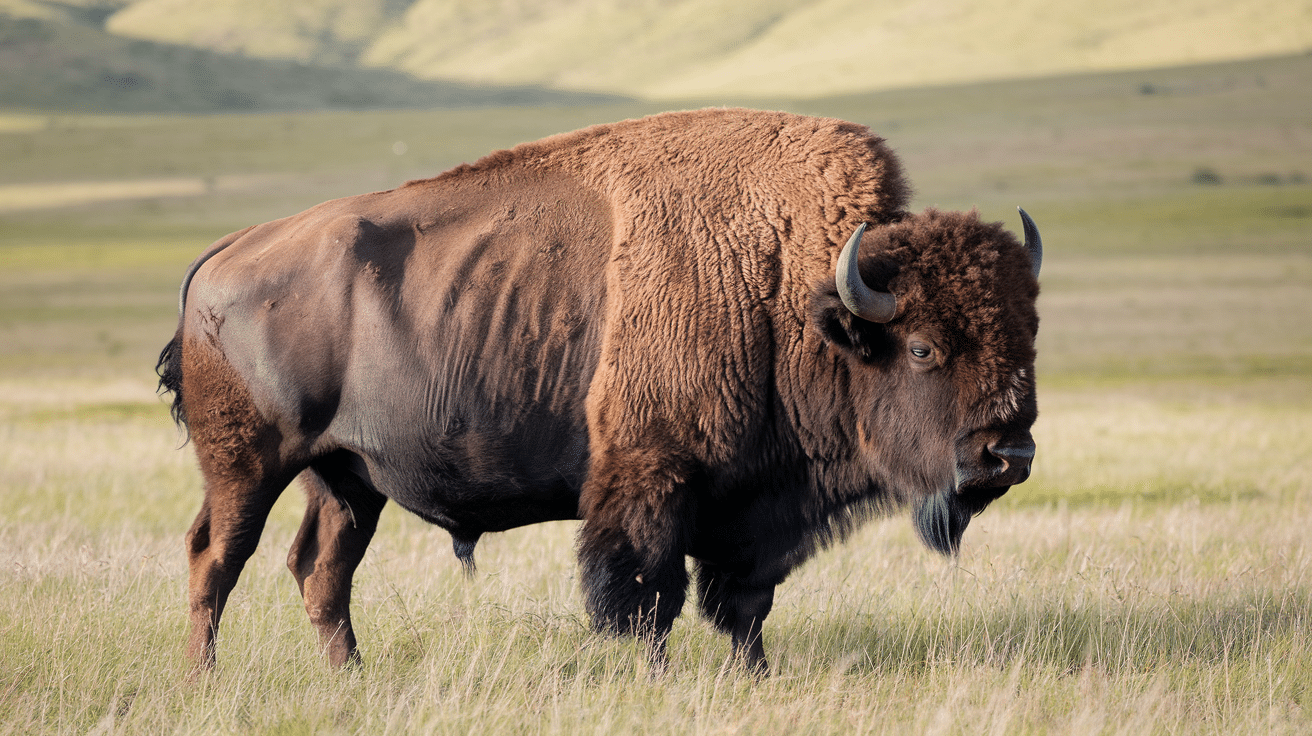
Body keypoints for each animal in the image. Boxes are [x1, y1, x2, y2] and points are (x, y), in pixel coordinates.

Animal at [157, 108, 1041, 674]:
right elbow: (649, 596)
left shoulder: (749, 512)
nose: (1009, 453)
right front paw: (659, 677)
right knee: (216, 556)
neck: (788, 289)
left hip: (346, 478)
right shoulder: (652, 480)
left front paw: (753, 675)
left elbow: (744, 604)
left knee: (321, 570)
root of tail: (224, 256)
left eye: (1028, 335)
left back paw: (351, 677)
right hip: (249, 465)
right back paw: (205, 681)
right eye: (924, 348)